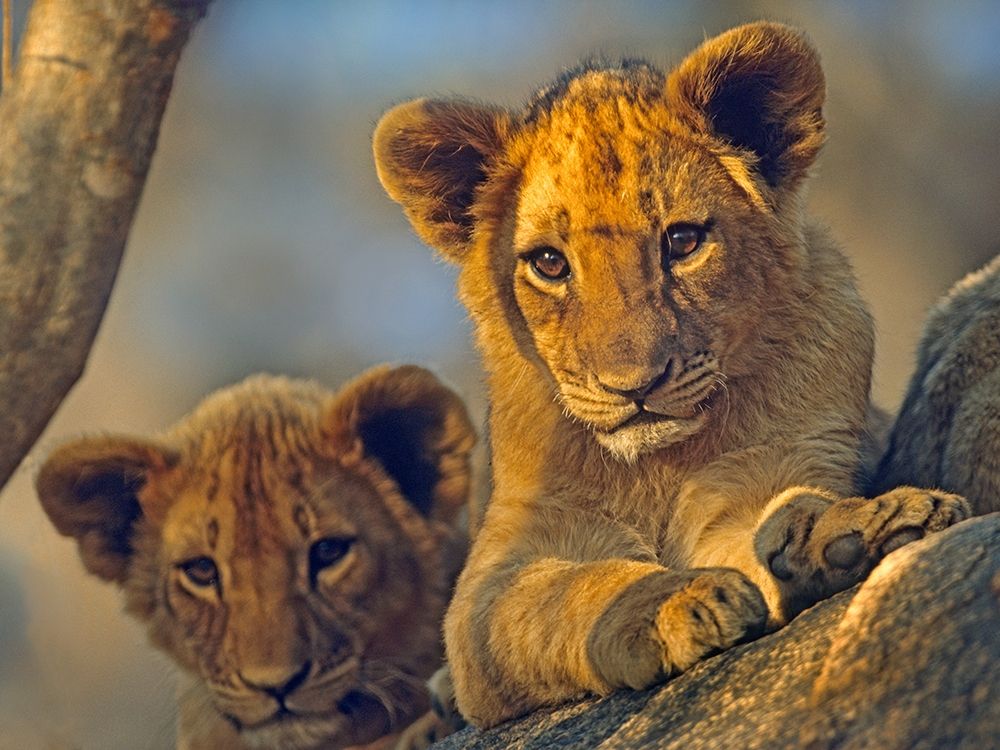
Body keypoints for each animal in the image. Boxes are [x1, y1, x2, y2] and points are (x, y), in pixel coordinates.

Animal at [373, 21, 971, 727]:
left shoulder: (765, 474)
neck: (654, 467)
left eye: (682, 241)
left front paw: (855, 531)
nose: (633, 386)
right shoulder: (496, 578)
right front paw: (672, 604)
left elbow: (780, 514)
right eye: (549, 263)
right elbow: (577, 591)